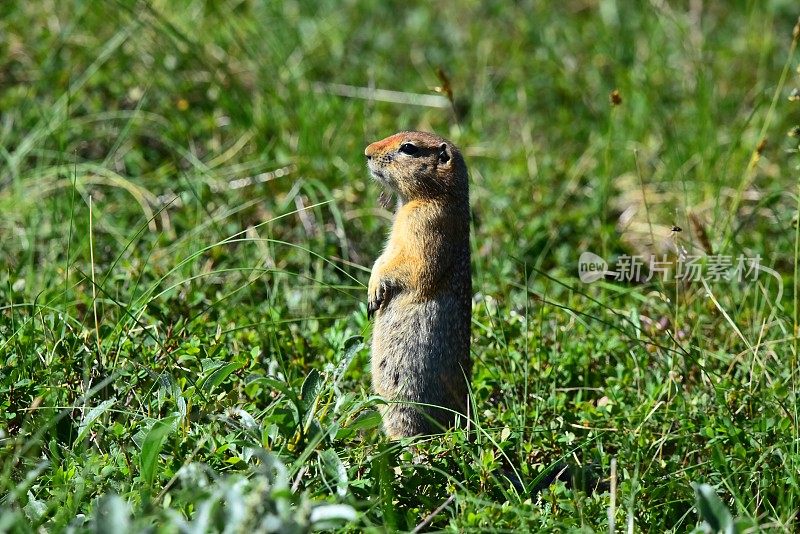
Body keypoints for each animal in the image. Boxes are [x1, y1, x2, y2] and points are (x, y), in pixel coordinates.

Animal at [360, 131, 468, 440]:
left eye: (408, 148)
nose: (367, 152)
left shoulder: (426, 225)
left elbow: (412, 265)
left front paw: (375, 290)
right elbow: (383, 256)